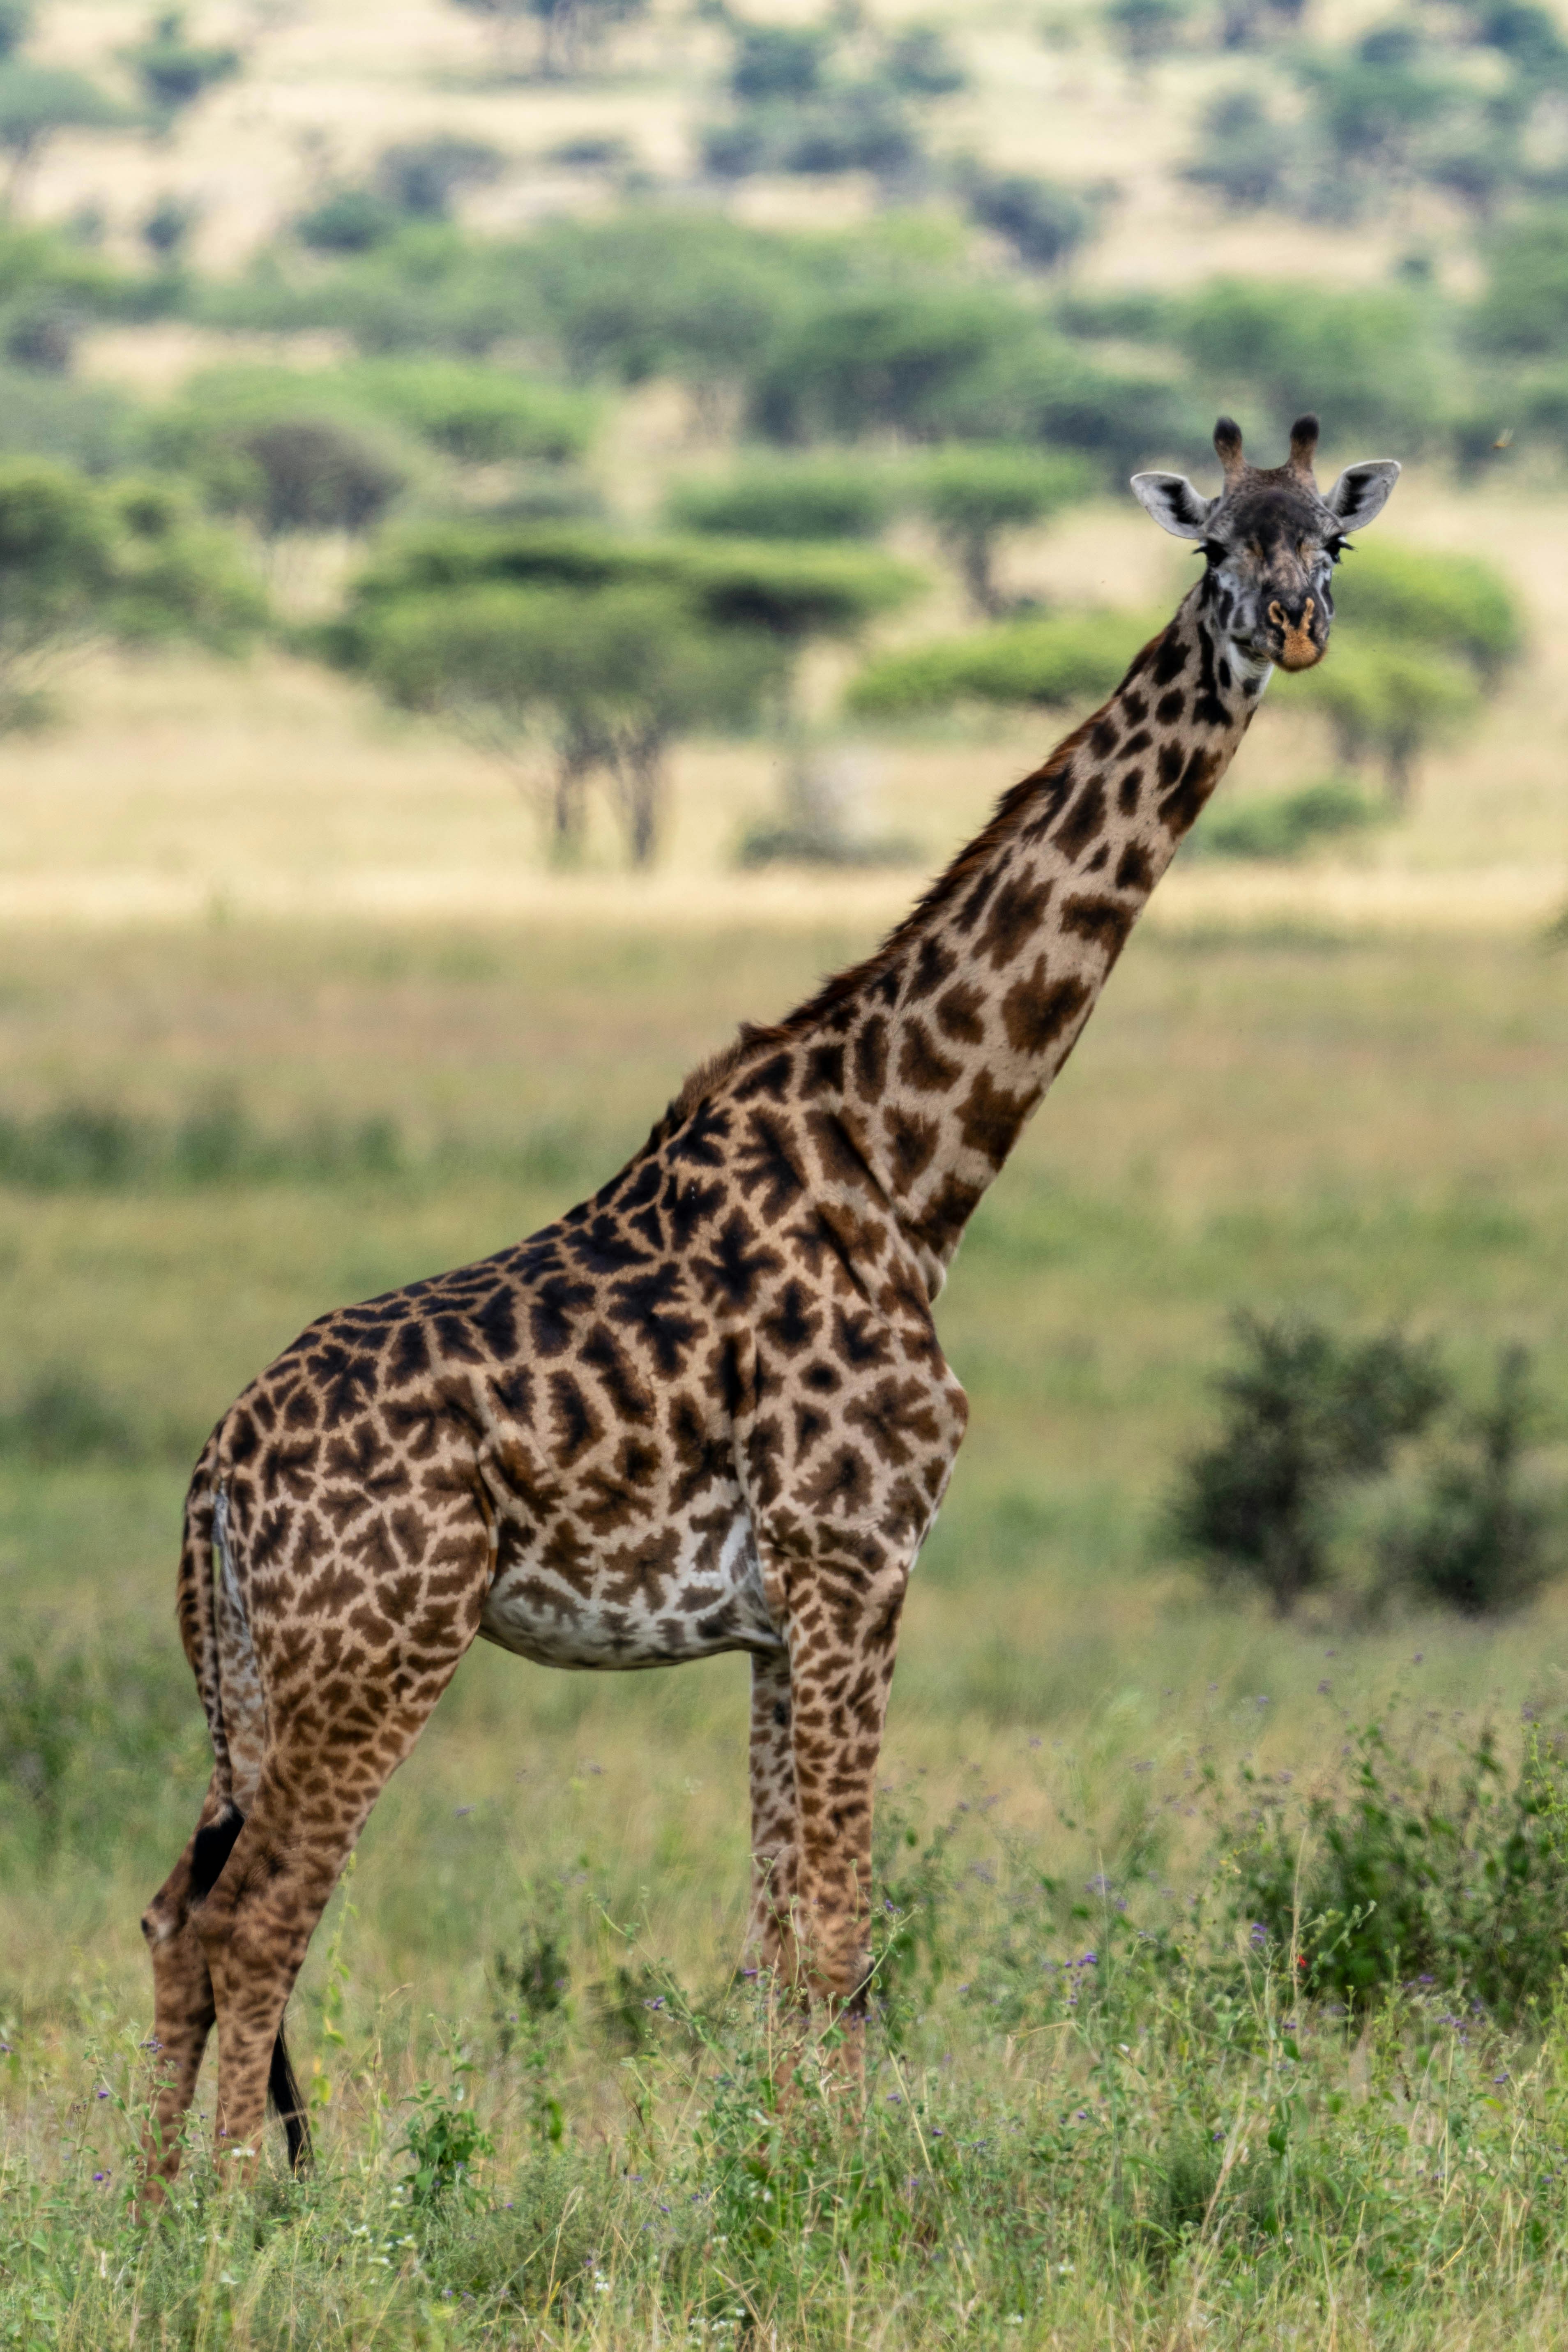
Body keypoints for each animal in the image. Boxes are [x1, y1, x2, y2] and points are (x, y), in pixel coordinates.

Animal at [144, 419, 1401, 2182]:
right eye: (1214, 544)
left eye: (1327, 546)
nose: (1287, 630)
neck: (912, 1163)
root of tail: (218, 1474)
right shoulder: (859, 1558)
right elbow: (842, 1934)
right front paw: (851, 2188)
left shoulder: (768, 1614)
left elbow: (772, 1938)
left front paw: (781, 2170)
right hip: (377, 1648)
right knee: (258, 1915)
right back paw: (258, 2218)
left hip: (250, 1677)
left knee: (176, 1909)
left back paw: (146, 2208)